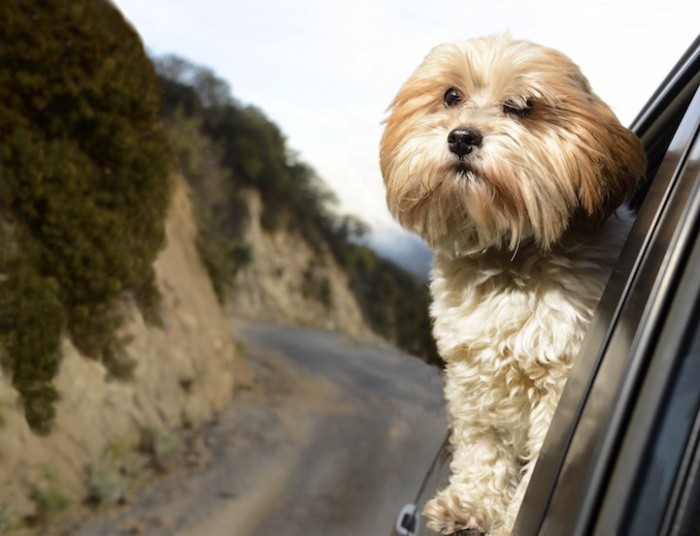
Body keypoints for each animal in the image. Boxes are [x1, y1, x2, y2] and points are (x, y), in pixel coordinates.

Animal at [380, 35, 648, 532]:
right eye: (451, 96)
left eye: (522, 107)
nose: (462, 137)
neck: (506, 256)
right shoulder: (473, 378)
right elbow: (483, 442)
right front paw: (473, 503)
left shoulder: (559, 384)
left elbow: (540, 456)